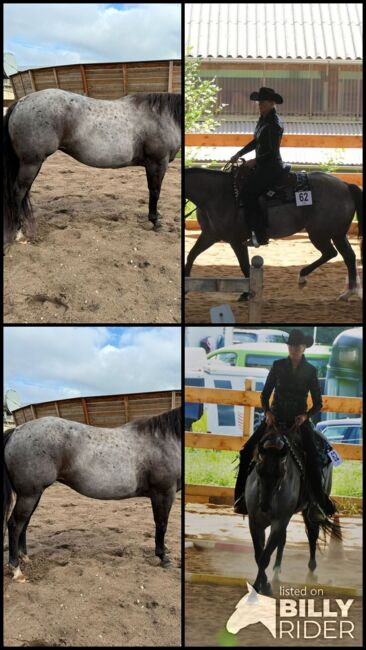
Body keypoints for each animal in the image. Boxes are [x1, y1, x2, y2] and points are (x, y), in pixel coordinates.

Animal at [2, 408, 181, 580]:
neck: (164, 440)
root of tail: (17, 430)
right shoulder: (163, 493)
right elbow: (162, 524)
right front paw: (163, 557)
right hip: (29, 495)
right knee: (15, 524)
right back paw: (16, 569)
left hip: (33, 494)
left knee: (24, 523)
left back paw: (25, 558)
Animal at [4, 88, 182, 243]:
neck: (161, 116)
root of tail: (21, 102)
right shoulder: (157, 162)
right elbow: (155, 192)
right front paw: (155, 222)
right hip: (31, 163)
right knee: (18, 192)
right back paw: (19, 231)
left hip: (33, 163)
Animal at [186, 166, 364, 300]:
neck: (219, 195)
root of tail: (346, 186)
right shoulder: (209, 235)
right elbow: (191, 255)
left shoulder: (236, 241)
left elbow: (244, 266)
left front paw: (246, 294)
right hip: (337, 234)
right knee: (348, 256)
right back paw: (348, 292)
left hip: (319, 233)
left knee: (331, 253)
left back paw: (304, 277)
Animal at [244, 422, 342, 596]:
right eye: (258, 470)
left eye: (281, 473)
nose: (265, 506)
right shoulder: (255, 522)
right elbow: (259, 555)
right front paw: (262, 584)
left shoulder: (279, 521)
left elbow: (264, 557)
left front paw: (260, 587)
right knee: (283, 540)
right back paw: (277, 570)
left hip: (308, 510)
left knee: (312, 534)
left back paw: (311, 569)